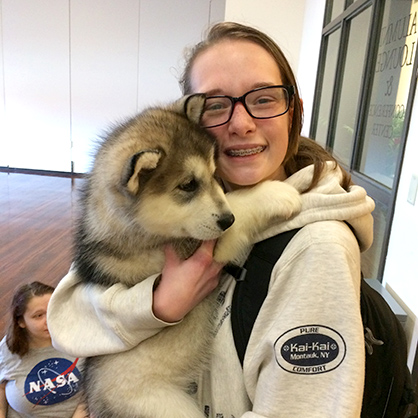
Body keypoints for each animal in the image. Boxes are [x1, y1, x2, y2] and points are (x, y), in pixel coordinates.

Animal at [73, 95, 298, 418]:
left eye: (215, 174)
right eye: (188, 185)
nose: (227, 219)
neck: (132, 229)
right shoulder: (201, 246)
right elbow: (241, 204)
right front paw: (277, 193)